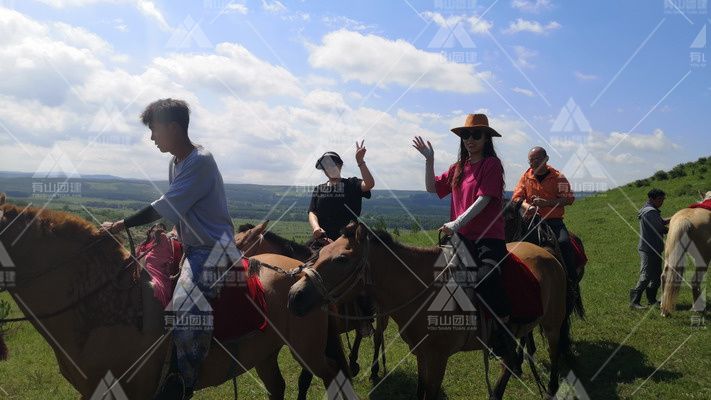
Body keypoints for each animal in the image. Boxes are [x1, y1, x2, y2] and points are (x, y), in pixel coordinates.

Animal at [286, 222, 572, 400]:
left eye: (341, 259)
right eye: (320, 251)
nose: (294, 296)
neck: (425, 289)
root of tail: (547, 253)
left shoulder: (438, 359)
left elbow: (431, 393)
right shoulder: (422, 354)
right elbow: (421, 390)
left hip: (552, 325)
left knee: (554, 354)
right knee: (508, 363)